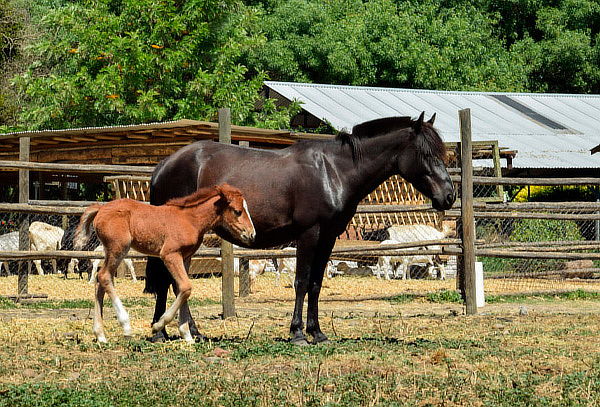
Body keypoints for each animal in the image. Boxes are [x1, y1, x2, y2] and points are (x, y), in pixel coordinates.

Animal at [74, 183, 254, 342]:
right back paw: (126, 326)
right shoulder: (169, 255)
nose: (252, 234)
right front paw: (158, 325)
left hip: (111, 251)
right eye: (237, 211)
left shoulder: (185, 257)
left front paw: (187, 335)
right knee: (104, 277)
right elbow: (186, 287)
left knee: (100, 280)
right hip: (118, 248)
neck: (190, 219)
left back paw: (100, 335)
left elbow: (180, 288)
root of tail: (100, 209)